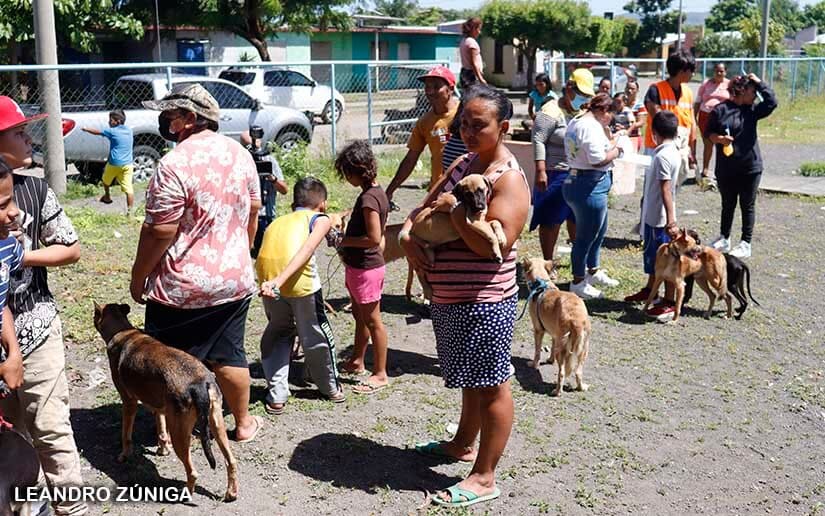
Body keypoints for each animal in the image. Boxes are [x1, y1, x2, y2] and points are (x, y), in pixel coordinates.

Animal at [92, 303, 238, 501]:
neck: (124, 332)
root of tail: (199, 383)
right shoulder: (160, 407)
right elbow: (161, 431)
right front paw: (163, 449)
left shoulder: (129, 402)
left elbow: (126, 436)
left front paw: (123, 456)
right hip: (216, 424)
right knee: (231, 461)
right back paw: (231, 493)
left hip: (181, 434)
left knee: (192, 472)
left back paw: (186, 495)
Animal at [521, 258, 592, 396]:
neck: (542, 285)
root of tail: (577, 320)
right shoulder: (554, 335)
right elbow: (552, 348)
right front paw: (550, 360)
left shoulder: (538, 331)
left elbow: (537, 352)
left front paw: (534, 364)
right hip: (582, 350)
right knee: (578, 372)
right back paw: (581, 387)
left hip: (563, 350)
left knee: (562, 373)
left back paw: (557, 392)